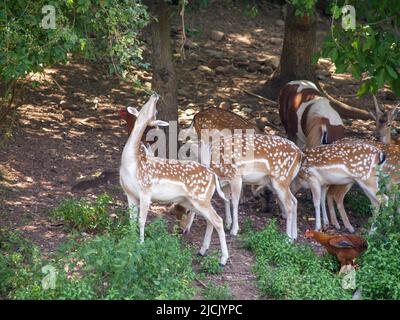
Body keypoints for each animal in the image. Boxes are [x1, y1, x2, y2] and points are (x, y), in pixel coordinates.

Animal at [120, 94, 230, 264]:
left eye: (154, 113)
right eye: (145, 105)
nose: (155, 95)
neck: (132, 165)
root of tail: (213, 176)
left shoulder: (146, 191)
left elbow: (141, 220)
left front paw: (141, 244)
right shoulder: (129, 193)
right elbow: (131, 220)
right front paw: (130, 242)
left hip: (201, 198)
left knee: (218, 220)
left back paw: (223, 259)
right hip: (192, 201)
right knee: (210, 221)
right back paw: (202, 251)